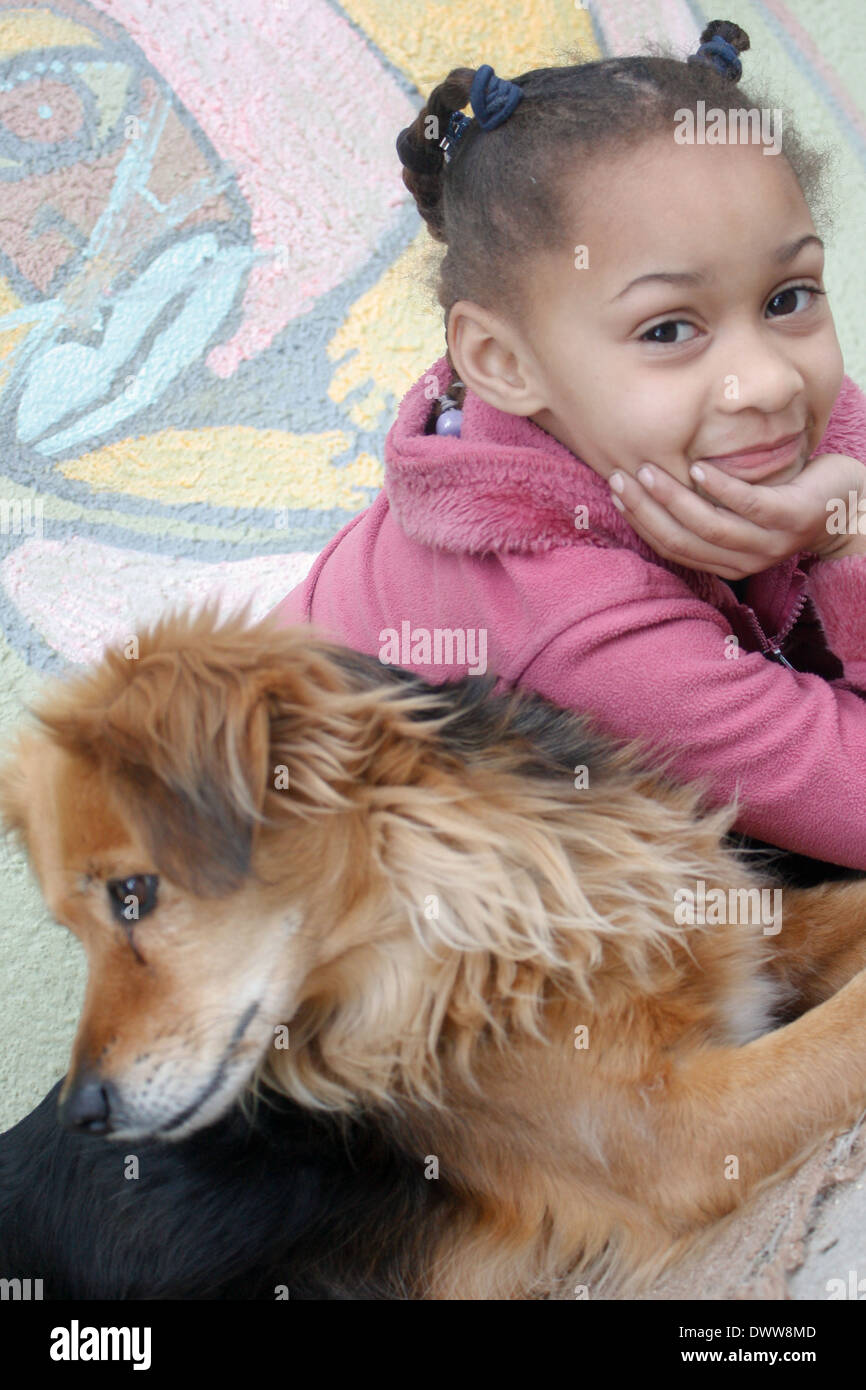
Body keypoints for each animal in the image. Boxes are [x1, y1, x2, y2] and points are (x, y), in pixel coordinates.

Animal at [1, 600, 866, 1301]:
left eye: (131, 895)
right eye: (73, 929)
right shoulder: (673, 1134)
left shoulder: (735, 934)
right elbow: (840, 1032)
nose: (84, 1113)